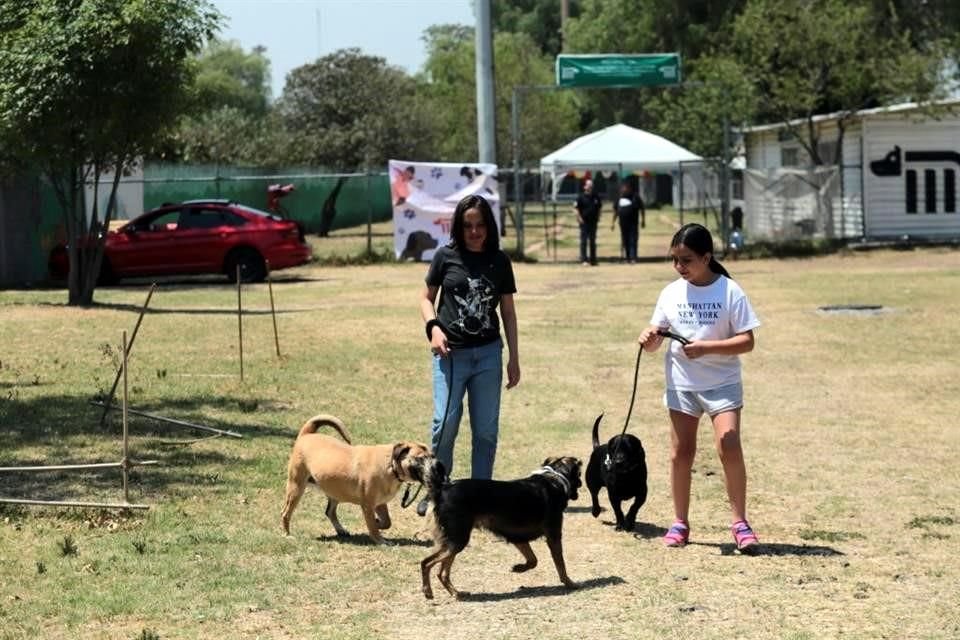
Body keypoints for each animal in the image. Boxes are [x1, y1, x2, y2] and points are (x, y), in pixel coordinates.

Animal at [280, 416, 436, 544]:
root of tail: (307, 434)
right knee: (285, 513)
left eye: (431, 456)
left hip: (334, 492)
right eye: (420, 458)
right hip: (296, 487)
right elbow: (373, 526)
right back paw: (287, 534)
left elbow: (387, 522)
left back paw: (341, 530)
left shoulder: (380, 503)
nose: (437, 467)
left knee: (330, 512)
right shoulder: (368, 505)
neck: (390, 466)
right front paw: (380, 539)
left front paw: (378, 522)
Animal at [422, 456, 584, 600]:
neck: (555, 478)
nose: (582, 484)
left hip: (453, 542)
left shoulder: (519, 538)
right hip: (457, 540)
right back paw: (428, 591)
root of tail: (442, 489)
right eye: (579, 474)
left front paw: (518, 568)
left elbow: (533, 560)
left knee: (442, 573)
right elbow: (561, 565)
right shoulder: (553, 536)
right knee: (426, 562)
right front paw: (570, 583)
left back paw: (456, 593)